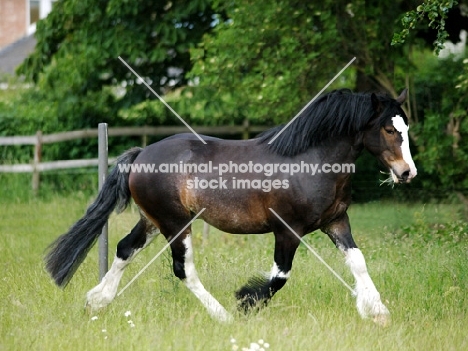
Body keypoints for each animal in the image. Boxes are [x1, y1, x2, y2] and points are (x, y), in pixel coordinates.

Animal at [44, 89, 416, 326]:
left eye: (405, 127)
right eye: (388, 128)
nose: (407, 173)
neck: (311, 159)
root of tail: (141, 155)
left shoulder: (336, 222)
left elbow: (358, 262)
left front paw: (378, 313)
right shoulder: (288, 230)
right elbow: (279, 276)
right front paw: (244, 303)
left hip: (151, 220)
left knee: (124, 249)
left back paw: (96, 302)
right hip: (175, 224)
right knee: (184, 271)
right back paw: (222, 317)